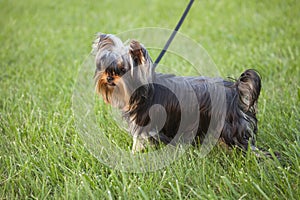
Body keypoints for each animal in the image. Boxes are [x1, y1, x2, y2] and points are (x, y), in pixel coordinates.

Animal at [92, 33, 262, 155]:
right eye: (106, 68)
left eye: (122, 70)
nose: (109, 78)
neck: (141, 93)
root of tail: (235, 88)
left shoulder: (146, 124)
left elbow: (138, 140)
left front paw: (134, 154)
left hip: (230, 127)